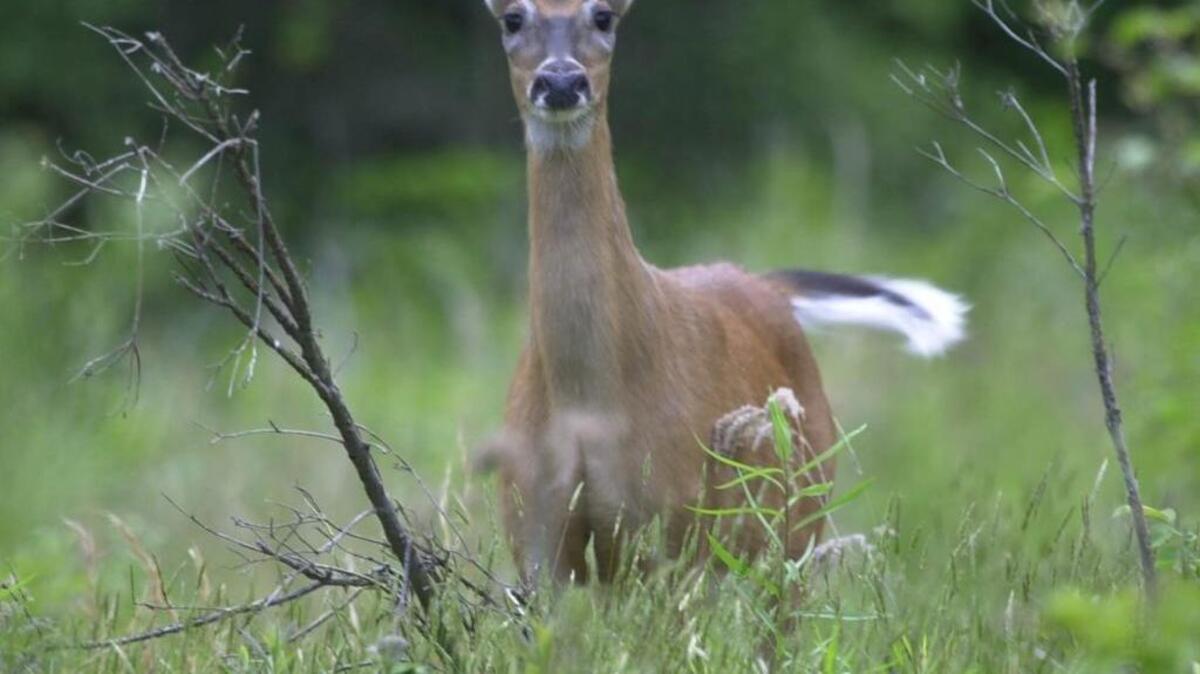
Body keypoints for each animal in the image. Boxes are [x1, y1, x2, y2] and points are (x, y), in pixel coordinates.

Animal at [477, 0, 968, 584]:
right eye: (511, 18)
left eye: (604, 16)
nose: (560, 81)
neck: (591, 404)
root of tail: (764, 283)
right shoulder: (534, 528)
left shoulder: (670, 523)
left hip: (795, 519)